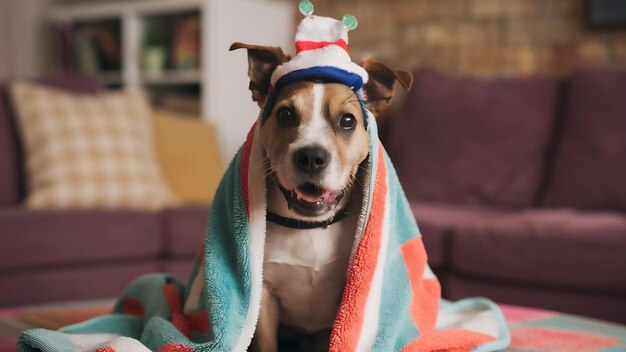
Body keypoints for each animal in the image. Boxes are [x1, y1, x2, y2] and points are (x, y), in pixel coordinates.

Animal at [228, 42, 410, 352]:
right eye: (285, 114)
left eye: (347, 121)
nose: (311, 157)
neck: (309, 228)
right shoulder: (264, 296)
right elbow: (266, 343)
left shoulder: (342, 306)